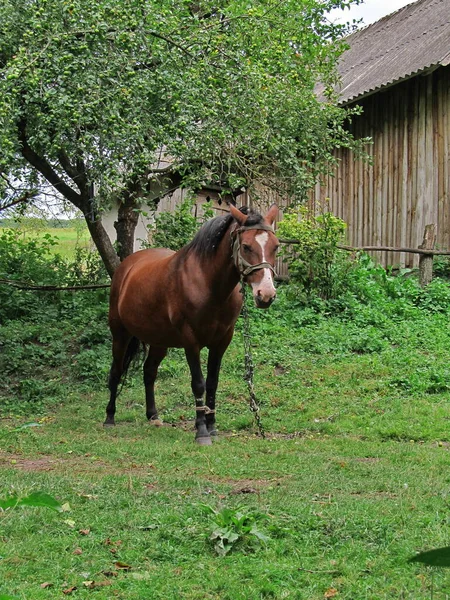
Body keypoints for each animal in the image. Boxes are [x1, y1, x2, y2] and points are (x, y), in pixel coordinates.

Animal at [105, 204, 280, 442]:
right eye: (246, 246)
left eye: (276, 246)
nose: (266, 295)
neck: (207, 284)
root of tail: (126, 267)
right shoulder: (191, 342)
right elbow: (198, 383)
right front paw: (202, 432)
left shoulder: (221, 342)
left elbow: (213, 383)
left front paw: (212, 426)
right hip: (120, 334)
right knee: (116, 371)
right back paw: (109, 417)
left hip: (159, 341)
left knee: (149, 372)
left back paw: (153, 416)